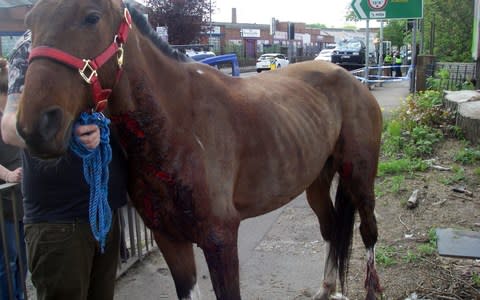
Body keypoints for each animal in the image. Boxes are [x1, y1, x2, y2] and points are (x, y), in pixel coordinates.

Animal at [15, 1, 382, 298]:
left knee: (368, 231)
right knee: (331, 227)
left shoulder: (220, 240)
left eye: (91, 17)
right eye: (30, 21)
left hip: (360, 179)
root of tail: (352, 80)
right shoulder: (170, 240)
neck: (178, 126)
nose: (36, 126)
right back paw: (327, 287)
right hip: (316, 180)